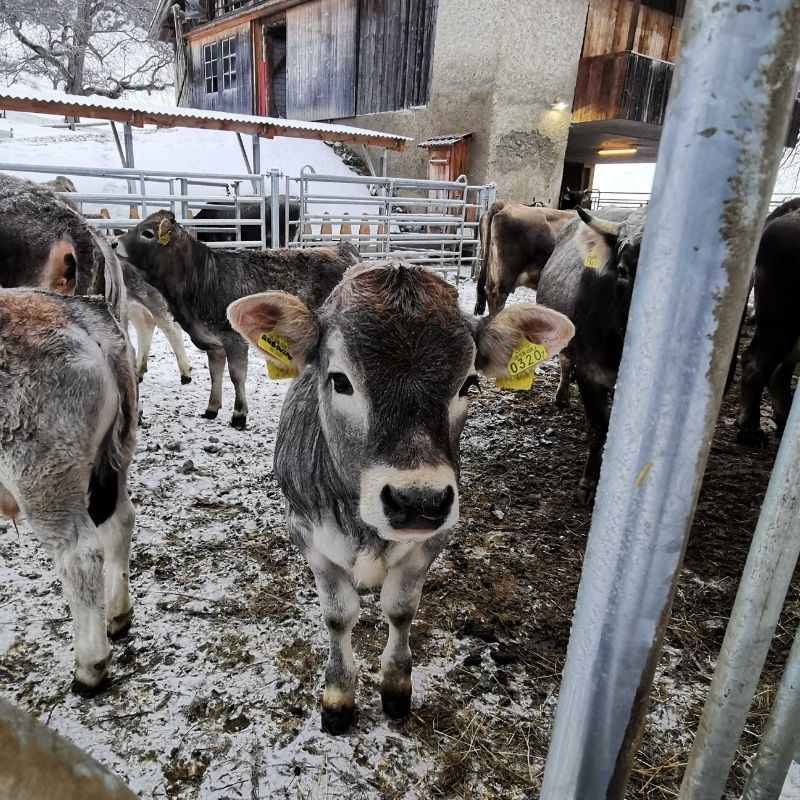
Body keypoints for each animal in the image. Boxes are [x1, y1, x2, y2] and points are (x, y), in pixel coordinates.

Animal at [113, 209, 360, 428]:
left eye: (147, 233)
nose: (114, 242)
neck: (203, 280)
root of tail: (343, 249)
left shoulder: (234, 340)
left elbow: (236, 376)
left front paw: (239, 415)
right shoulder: (213, 343)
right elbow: (215, 374)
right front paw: (212, 408)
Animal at [227, 260, 576, 732]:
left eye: (468, 384)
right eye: (340, 381)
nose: (418, 501)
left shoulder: (432, 540)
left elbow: (400, 609)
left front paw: (395, 688)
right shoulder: (306, 534)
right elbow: (338, 615)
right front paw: (338, 697)